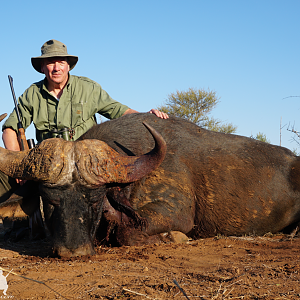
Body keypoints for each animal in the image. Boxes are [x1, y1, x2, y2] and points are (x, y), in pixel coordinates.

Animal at [0, 113, 300, 256]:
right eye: (49, 200)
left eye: (95, 199)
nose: (72, 252)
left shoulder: (175, 212)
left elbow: (127, 233)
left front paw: (174, 237)